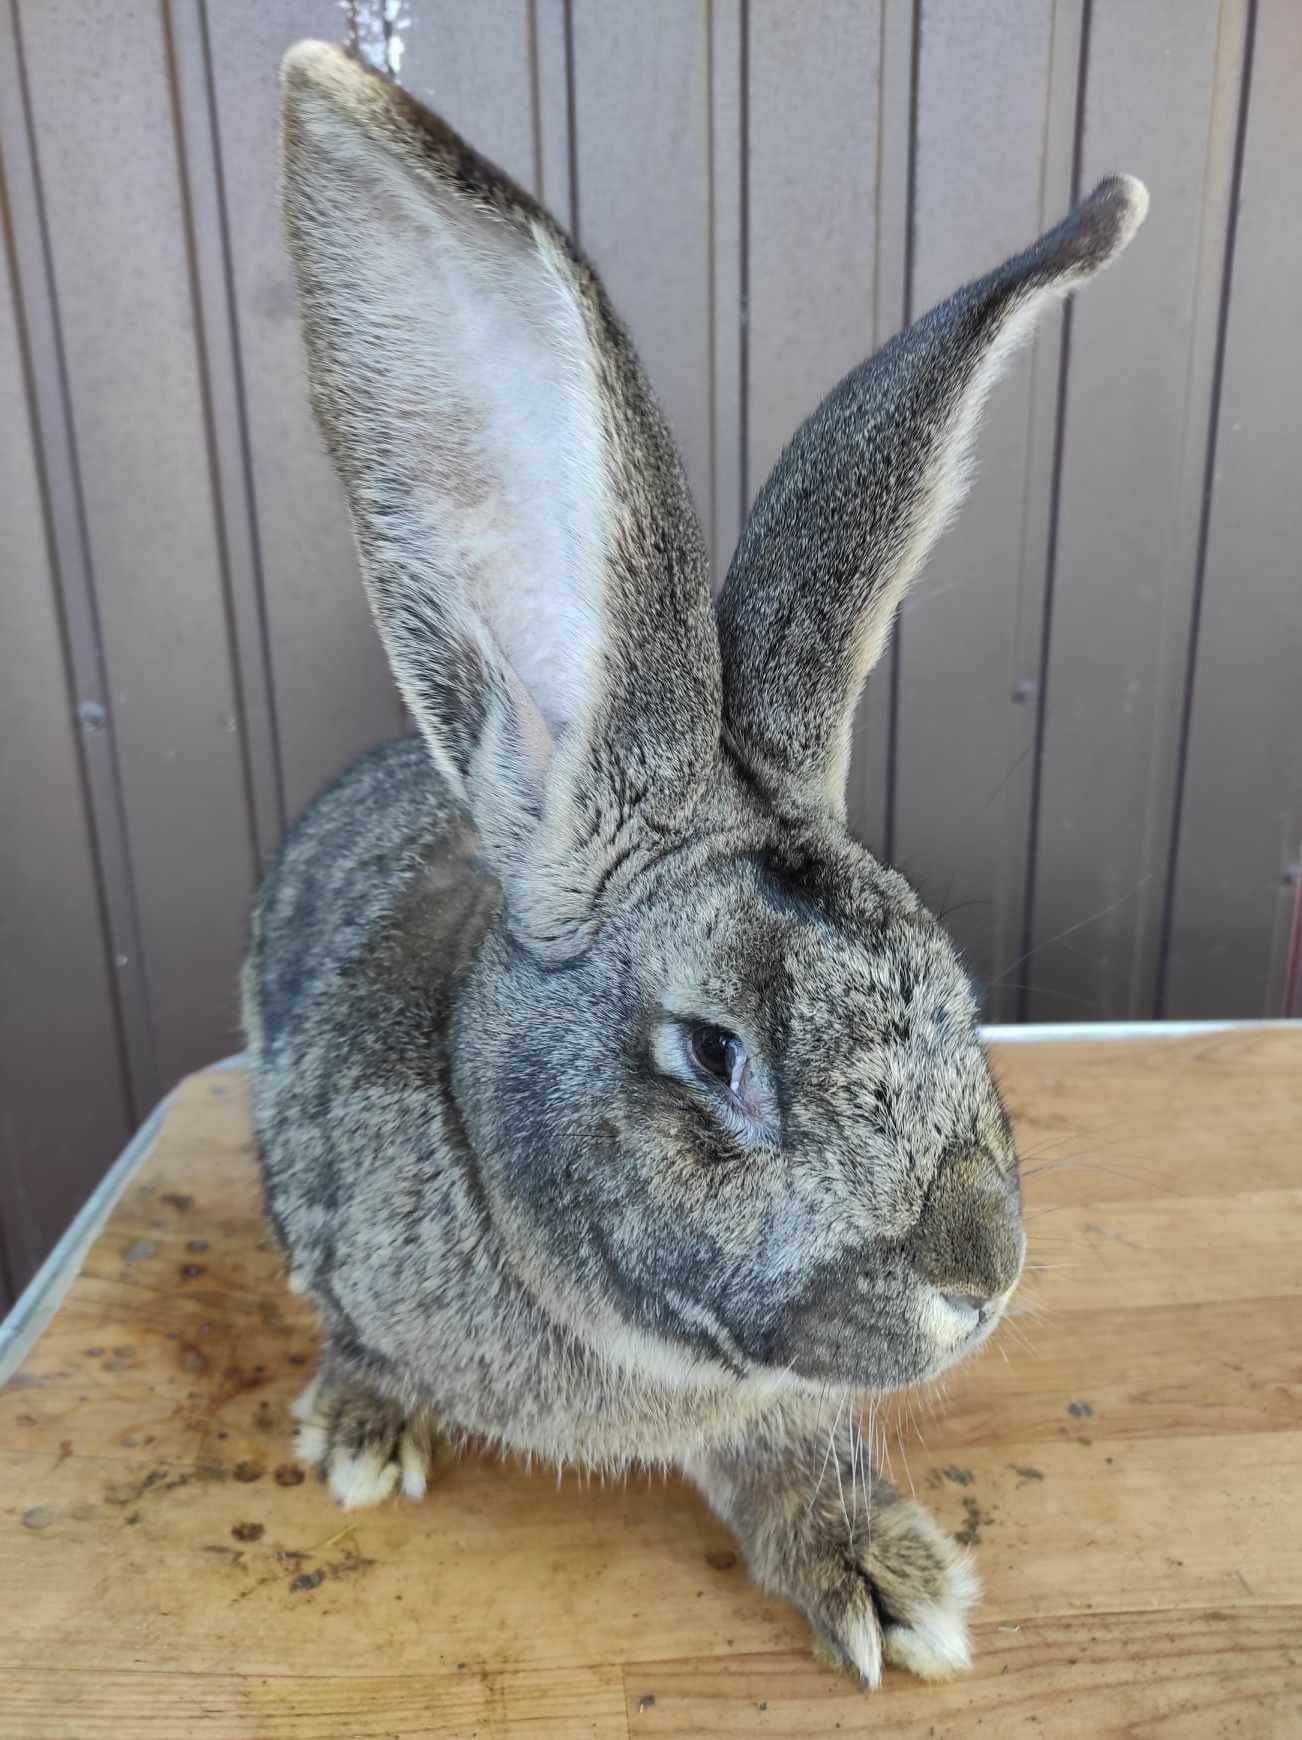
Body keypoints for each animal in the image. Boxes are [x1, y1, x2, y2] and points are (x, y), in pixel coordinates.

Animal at [247, 40, 1148, 1691]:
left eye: (949, 983)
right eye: (715, 1051)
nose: (981, 1274)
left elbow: (792, 1446)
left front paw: (882, 1575)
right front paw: (358, 1428)